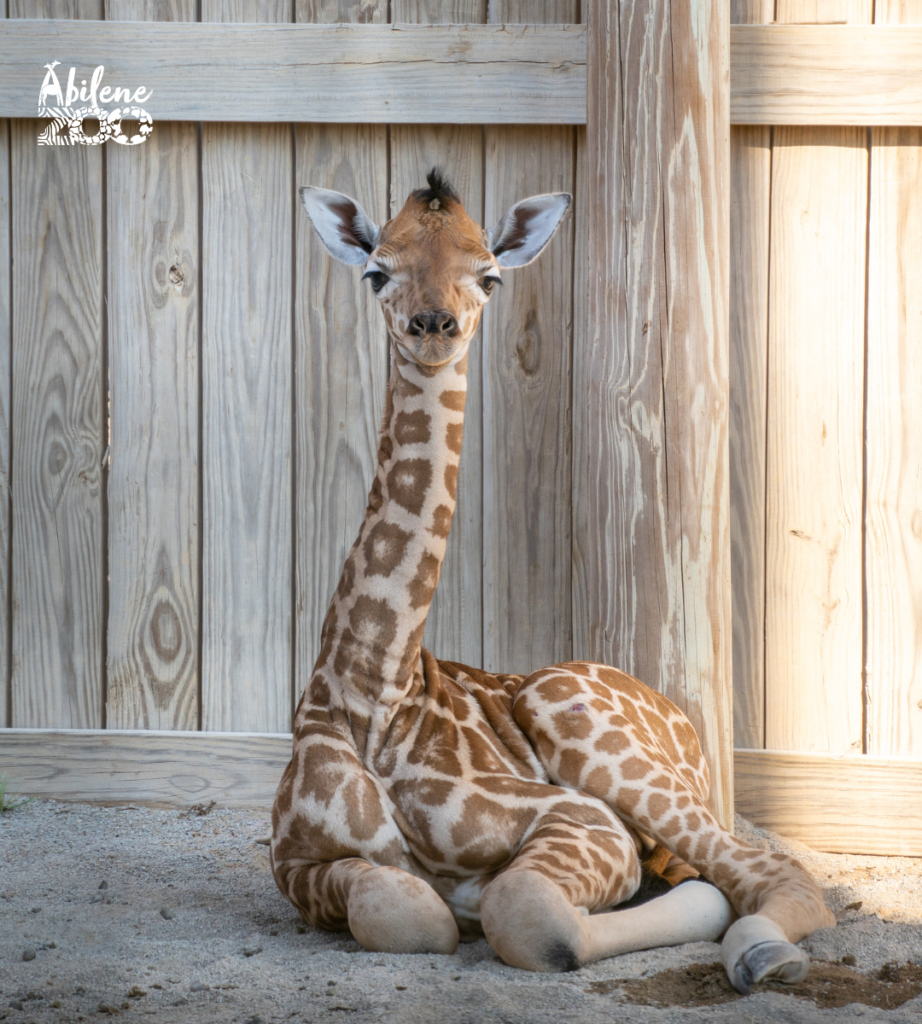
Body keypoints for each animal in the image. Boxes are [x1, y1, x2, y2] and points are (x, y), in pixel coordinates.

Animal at [271, 170, 835, 994]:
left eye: (489, 276)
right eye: (377, 270)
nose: (433, 326)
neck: (374, 696)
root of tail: (688, 729)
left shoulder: (585, 821)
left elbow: (526, 917)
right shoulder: (291, 860)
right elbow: (403, 906)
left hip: (574, 715)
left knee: (774, 873)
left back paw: (762, 951)